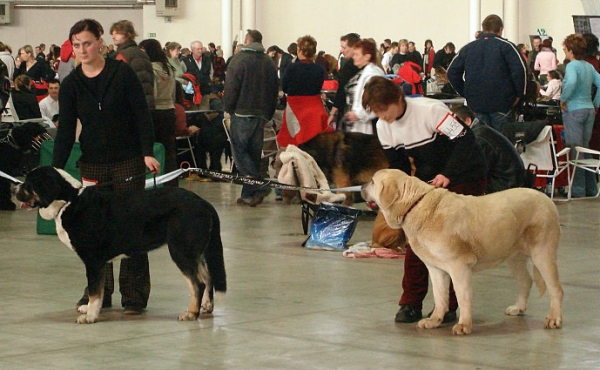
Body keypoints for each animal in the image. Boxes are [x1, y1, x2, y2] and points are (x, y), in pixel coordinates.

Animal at [17, 167, 227, 324]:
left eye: (28, 184)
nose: (16, 188)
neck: (68, 201)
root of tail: (204, 203)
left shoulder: (93, 261)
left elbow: (94, 291)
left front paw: (90, 316)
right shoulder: (100, 263)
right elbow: (99, 290)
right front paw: (91, 309)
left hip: (181, 250)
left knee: (197, 283)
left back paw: (191, 313)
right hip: (194, 252)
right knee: (208, 277)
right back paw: (206, 307)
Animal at [360, 170, 564, 336]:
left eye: (373, 181)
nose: (361, 187)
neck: (415, 205)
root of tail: (546, 198)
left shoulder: (459, 266)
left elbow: (462, 296)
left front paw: (464, 325)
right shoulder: (435, 268)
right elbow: (440, 296)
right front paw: (434, 320)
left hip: (542, 252)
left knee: (556, 289)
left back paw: (554, 319)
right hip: (514, 255)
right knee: (526, 281)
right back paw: (518, 308)